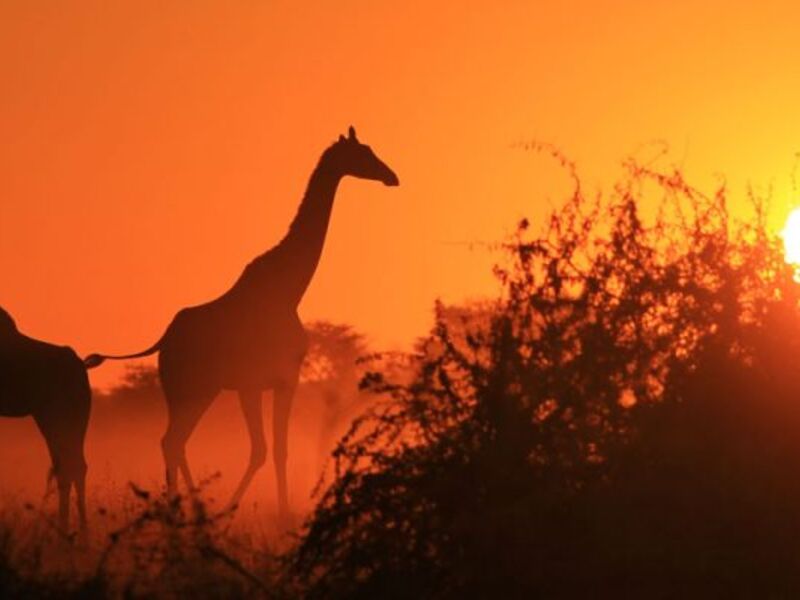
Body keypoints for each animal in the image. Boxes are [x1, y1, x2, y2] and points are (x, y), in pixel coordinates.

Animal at [85, 127, 399, 518]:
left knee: (173, 441)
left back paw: (186, 507)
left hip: (193, 391)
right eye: (364, 153)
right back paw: (188, 509)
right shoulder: (268, 381)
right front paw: (260, 511)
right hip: (192, 389)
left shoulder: (269, 382)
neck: (289, 290)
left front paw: (266, 511)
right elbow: (267, 449)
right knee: (173, 440)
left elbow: (274, 449)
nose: (392, 176)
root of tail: (163, 340)